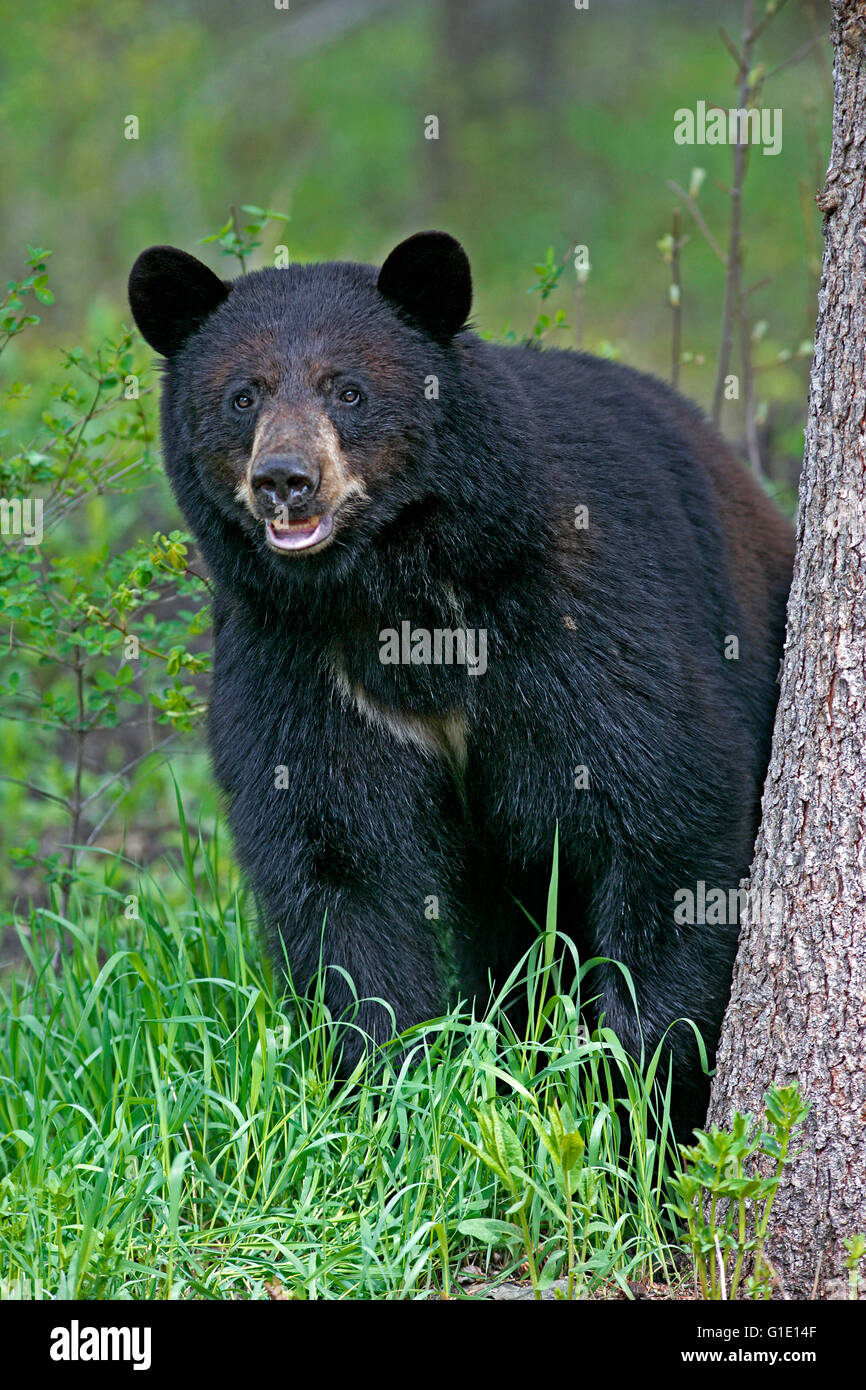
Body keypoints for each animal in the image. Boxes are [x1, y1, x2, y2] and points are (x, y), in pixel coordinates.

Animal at [128, 231, 794, 1141]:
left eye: (349, 389)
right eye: (242, 395)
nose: (285, 479)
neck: (399, 595)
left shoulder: (575, 615)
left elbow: (664, 811)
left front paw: (640, 1107)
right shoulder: (298, 660)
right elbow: (340, 862)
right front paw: (387, 1098)